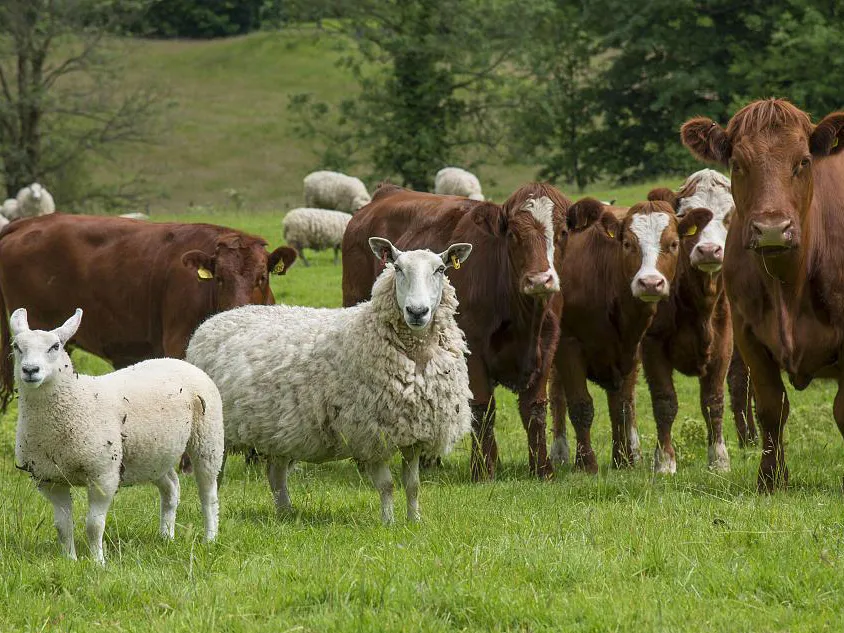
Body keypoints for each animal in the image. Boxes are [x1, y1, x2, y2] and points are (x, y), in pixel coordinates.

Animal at [10, 308, 224, 564]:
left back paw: (210, 539)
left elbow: (93, 526)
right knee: (171, 487)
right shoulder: (50, 479)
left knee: (208, 494)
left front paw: (97, 562)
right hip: (152, 454)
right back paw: (166, 536)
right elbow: (63, 526)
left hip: (208, 438)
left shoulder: (103, 474)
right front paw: (70, 561)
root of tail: (179, 361)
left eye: (55, 346)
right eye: (16, 346)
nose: (30, 370)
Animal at [186, 237, 474, 524]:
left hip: (280, 428)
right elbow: (387, 485)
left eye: (440, 269)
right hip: (217, 427)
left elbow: (413, 484)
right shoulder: (371, 433)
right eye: (397, 268)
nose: (417, 311)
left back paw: (286, 513)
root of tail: (215, 320)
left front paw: (414, 522)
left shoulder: (415, 432)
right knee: (216, 476)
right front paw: (388, 524)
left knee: (276, 474)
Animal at [342, 183, 570, 480]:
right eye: (512, 234)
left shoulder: (547, 345)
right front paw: (483, 471)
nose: (540, 280)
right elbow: (483, 409)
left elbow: (535, 408)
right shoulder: (473, 348)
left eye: (563, 232)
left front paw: (543, 470)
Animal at [549, 199, 711, 471]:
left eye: (673, 244)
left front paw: (623, 459)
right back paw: (559, 453)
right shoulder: (568, 345)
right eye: (627, 244)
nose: (650, 283)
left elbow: (622, 406)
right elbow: (580, 405)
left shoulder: (631, 348)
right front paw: (586, 463)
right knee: (557, 395)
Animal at [680, 98, 844, 491]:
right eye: (738, 163)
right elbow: (771, 406)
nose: (772, 229)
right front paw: (770, 479)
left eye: (803, 161)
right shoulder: (748, 333)